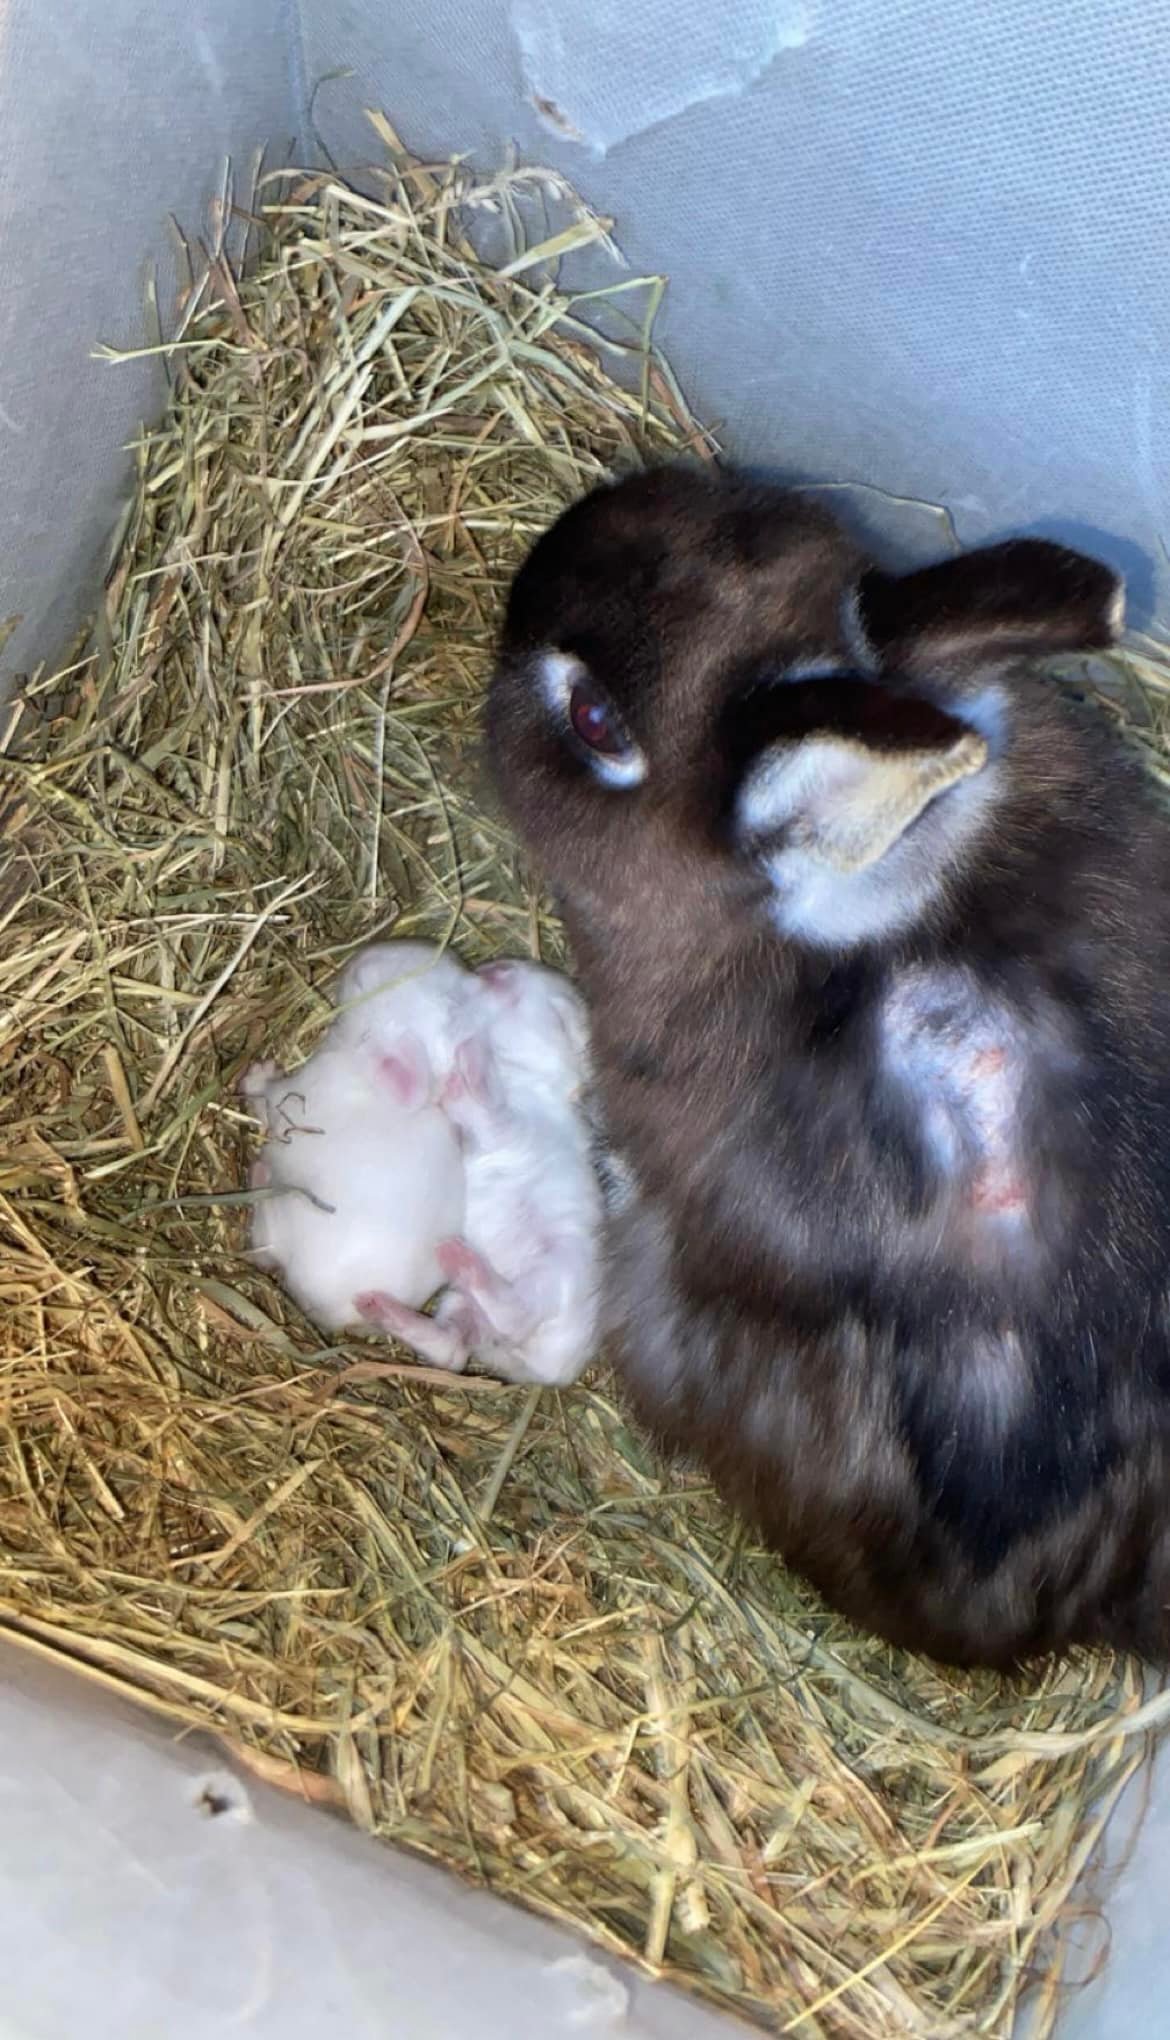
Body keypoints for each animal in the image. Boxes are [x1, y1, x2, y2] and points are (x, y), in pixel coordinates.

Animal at [240, 941, 473, 1337]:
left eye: (364, 980)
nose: (360, 956)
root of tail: (345, 1310)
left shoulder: (295, 1095)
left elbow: (268, 1099)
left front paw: (256, 1076)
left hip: (283, 1216)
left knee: (263, 1248)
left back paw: (258, 1175)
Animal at [372, 958, 603, 1386]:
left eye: (557, 1004)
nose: (499, 965)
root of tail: (549, 1371)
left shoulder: (515, 1124)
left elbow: (489, 1110)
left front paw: (470, 1063)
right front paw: (453, 1081)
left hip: (557, 1271)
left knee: (516, 1314)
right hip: (462, 1307)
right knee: (452, 1348)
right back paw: (383, 1308)